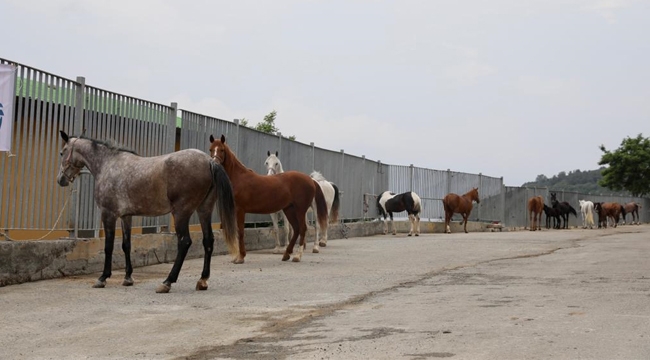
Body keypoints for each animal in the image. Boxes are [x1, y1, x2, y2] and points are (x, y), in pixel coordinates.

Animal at [209, 134, 326, 262]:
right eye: (211, 149)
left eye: (222, 150)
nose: (214, 164)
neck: (239, 178)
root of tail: (311, 180)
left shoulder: (240, 210)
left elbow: (240, 232)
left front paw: (241, 257)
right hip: (289, 210)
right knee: (296, 229)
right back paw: (286, 254)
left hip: (300, 210)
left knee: (302, 228)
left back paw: (297, 255)